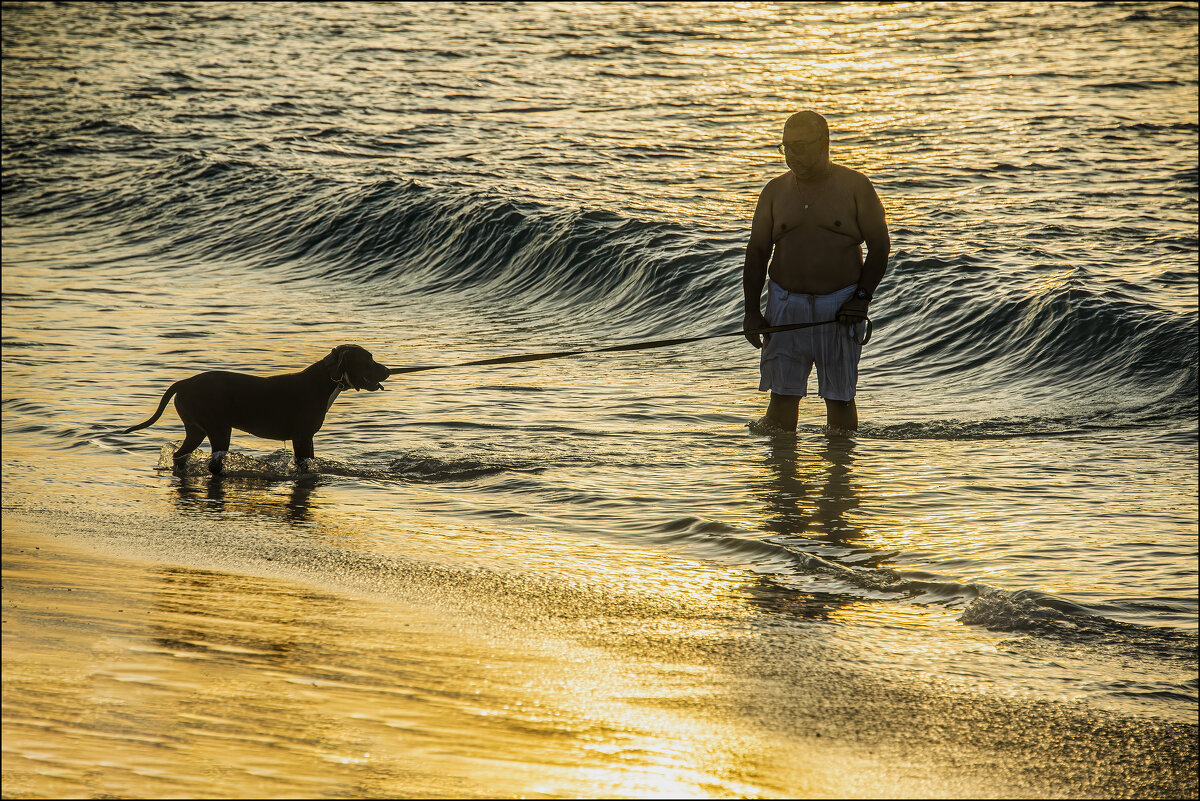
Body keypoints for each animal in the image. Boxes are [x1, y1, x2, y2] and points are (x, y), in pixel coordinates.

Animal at [120, 345, 388, 474]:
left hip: (197, 429)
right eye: (369, 359)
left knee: (180, 454)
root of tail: (185, 382)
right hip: (219, 429)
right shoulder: (302, 438)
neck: (326, 381)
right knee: (213, 461)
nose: (387, 370)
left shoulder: (307, 439)